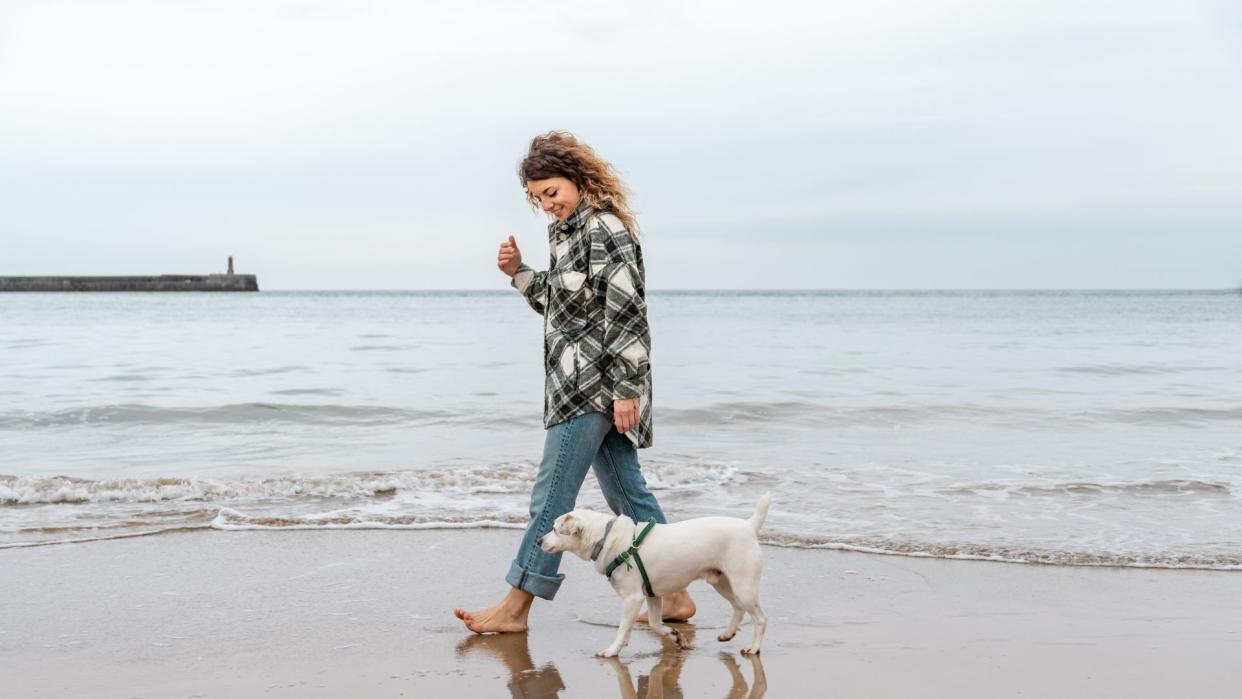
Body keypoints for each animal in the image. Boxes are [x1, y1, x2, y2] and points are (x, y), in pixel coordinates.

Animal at [536, 491, 765, 655]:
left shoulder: (633, 598)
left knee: (760, 618)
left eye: (555, 529)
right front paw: (675, 635)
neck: (606, 537)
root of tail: (748, 526)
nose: (538, 541)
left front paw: (612, 651)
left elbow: (623, 630)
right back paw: (727, 634)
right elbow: (655, 625)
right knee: (738, 609)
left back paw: (754, 648)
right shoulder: (652, 596)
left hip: (742, 586)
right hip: (721, 582)